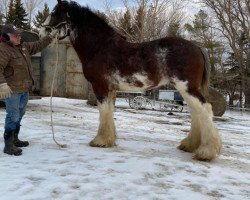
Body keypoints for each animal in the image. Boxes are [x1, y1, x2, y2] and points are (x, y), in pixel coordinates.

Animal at [40, 0, 222, 161]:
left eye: (54, 13)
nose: (41, 32)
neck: (100, 47)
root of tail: (197, 47)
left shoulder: (100, 87)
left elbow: (103, 112)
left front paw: (100, 141)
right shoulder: (111, 89)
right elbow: (109, 112)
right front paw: (110, 139)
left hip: (187, 87)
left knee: (204, 109)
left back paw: (206, 152)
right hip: (186, 89)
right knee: (196, 112)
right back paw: (190, 145)